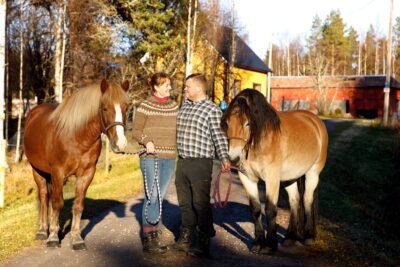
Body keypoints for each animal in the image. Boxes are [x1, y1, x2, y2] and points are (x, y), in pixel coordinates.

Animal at [23, 79, 129, 251]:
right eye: (105, 108)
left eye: (127, 107)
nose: (120, 144)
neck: (77, 137)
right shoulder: (57, 172)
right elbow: (57, 203)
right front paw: (53, 237)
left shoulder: (87, 173)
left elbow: (78, 205)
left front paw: (76, 238)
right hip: (37, 170)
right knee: (44, 197)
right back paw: (42, 231)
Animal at [222, 89, 328, 254]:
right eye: (227, 123)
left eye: (248, 123)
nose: (234, 158)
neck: (261, 141)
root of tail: (315, 121)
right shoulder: (247, 177)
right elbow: (256, 209)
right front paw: (258, 243)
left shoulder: (272, 178)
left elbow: (270, 209)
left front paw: (270, 245)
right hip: (290, 178)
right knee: (295, 201)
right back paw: (290, 238)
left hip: (313, 173)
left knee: (307, 199)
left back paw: (309, 237)